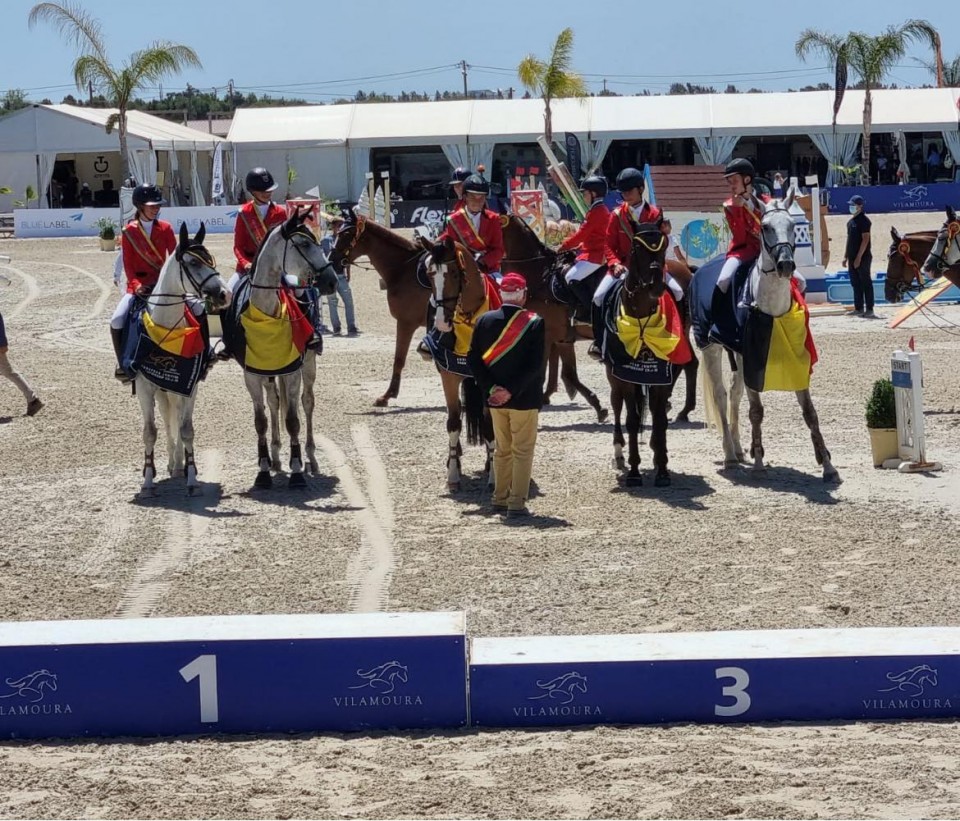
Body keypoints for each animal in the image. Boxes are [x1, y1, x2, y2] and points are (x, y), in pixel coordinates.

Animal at [134, 219, 230, 494]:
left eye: (211, 260)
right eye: (194, 263)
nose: (224, 294)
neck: (167, 331)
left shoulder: (189, 385)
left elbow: (186, 429)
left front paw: (191, 476)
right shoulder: (145, 387)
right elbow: (150, 432)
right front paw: (147, 480)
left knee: (175, 419)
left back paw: (179, 465)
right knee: (167, 422)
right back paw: (170, 464)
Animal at [231, 210, 340, 486]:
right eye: (303, 244)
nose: (332, 281)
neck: (266, 313)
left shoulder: (292, 370)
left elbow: (293, 420)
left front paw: (297, 470)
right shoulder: (252, 374)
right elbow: (261, 421)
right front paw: (263, 470)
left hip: (308, 365)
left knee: (307, 402)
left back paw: (310, 457)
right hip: (268, 374)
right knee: (274, 402)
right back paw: (275, 458)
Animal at [334, 210, 432, 406]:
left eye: (346, 234)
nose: (331, 259)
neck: (404, 269)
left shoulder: (406, 323)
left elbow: (399, 359)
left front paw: (388, 395)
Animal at [696, 194, 840, 480]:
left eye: (792, 226)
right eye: (765, 227)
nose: (785, 265)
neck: (771, 308)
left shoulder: (797, 358)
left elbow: (810, 412)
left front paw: (828, 465)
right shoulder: (753, 359)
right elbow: (756, 411)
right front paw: (760, 461)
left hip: (737, 355)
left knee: (734, 392)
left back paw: (739, 449)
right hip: (709, 347)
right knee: (720, 395)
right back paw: (730, 456)